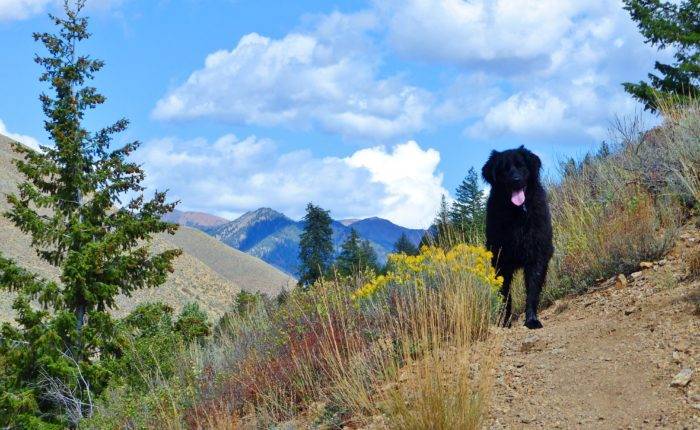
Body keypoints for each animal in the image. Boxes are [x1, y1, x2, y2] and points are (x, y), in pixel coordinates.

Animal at [482, 145, 552, 330]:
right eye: (504, 170)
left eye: (521, 166)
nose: (515, 180)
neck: (517, 215)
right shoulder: (501, 262)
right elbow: (506, 296)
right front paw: (505, 322)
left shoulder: (537, 256)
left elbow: (532, 291)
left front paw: (532, 320)